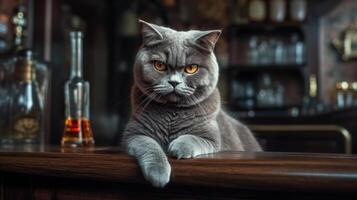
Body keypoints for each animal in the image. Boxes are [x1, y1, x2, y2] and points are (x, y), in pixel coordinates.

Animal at [122, 20, 262, 188]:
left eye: (191, 68)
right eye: (160, 65)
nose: (174, 82)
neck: (172, 112)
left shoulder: (210, 137)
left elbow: (192, 138)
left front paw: (178, 148)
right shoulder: (134, 133)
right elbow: (149, 146)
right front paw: (158, 174)